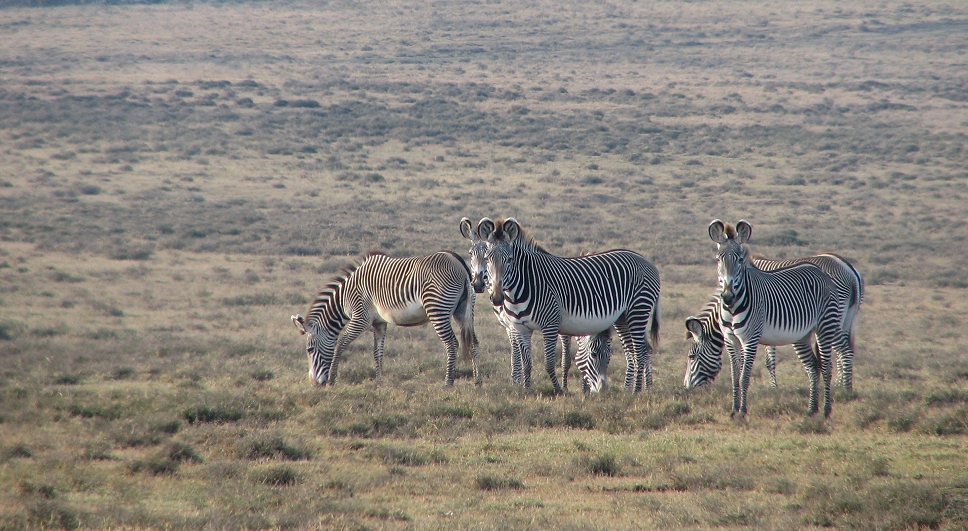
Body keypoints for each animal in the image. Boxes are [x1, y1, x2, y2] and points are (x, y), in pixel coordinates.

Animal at [290, 251, 482, 388]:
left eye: (309, 350)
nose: (314, 384)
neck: (346, 296)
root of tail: (459, 262)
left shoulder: (361, 318)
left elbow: (341, 343)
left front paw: (331, 379)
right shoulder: (379, 322)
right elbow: (377, 352)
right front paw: (379, 381)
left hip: (437, 309)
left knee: (451, 344)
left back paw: (448, 383)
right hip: (464, 311)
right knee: (474, 342)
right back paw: (477, 382)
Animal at [482, 217, 660, 394]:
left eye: (509, 260)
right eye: (486, 259)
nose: (497, 297)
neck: (525, 284)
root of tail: (647, 261)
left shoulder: (550, 325)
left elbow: (549, 362)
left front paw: (559, 390)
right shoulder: (521, 328)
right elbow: (527, 363)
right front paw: (527, 390)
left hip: (638, 309)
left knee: (640, 352)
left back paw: (636, 391)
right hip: (623, 318)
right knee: (633, 352)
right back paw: (627, 390)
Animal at [704, 220, 848, 420]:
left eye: (739, 260)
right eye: (718, 260)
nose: (727, 297)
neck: (733, 309)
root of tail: (820, 273)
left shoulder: (750, 339)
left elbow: (744, 377)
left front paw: (742, 411)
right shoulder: (730, 340)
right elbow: (734, 377)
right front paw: (733, 410)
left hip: (825, 326)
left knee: (826, 367)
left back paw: (826, 411)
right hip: (801, 335)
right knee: (813, 367)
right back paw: (812, 409)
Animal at [752, 254, 864, 390]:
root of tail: (850, 271)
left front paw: (773, 387)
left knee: (842, 351)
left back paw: (844, 388)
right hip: (849, 317)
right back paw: (839, 384)